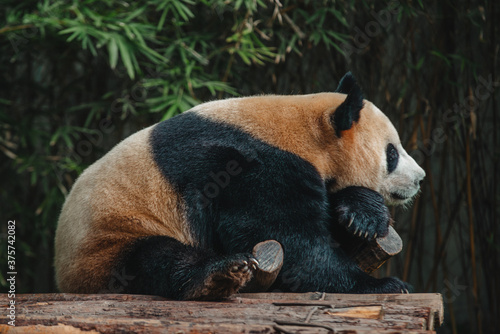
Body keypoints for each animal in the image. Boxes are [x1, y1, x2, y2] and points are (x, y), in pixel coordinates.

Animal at [54, 72, 426, 300]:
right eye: (392, 153)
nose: (420, 177)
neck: (303, 131)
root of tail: (65, 278)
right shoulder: (248, 166)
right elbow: (292, 244)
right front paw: (383, 284)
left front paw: (365, 215)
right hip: (110, 241)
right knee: (156, 260)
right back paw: (216, 276)